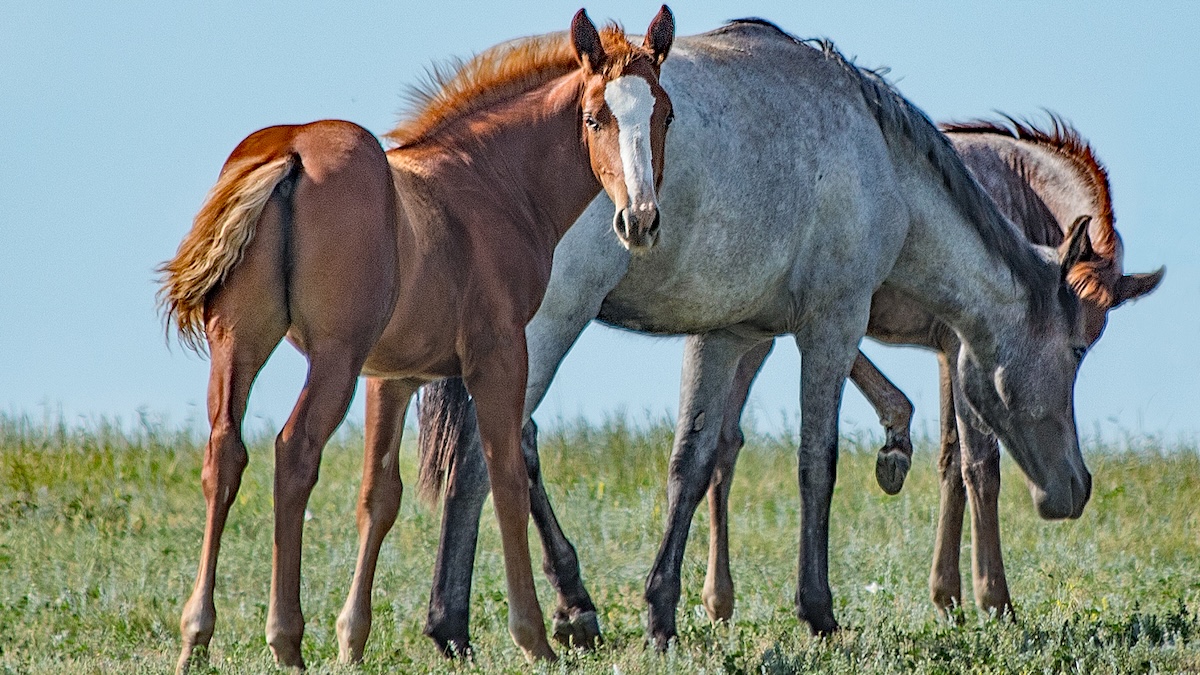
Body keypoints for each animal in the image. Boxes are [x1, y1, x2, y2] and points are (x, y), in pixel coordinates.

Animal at [157, 6, 676, 667]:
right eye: (594, 118)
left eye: (665, 115)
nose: (641, 220)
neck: (490, 184)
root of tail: (292, 151)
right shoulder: (499, 354)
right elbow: (503, 475)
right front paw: (534, 638)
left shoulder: (394, 375)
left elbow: (380, 495)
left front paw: (352, 641)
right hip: (334, 357)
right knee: (294, 453)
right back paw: (285, 640)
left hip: (238, 343)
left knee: (225, 454)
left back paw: (195, 638)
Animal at [408, 22, 1094, 653]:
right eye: (1075, 351)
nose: (1077, 487)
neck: (879, 158)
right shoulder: (833, 324)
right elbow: (817, 463)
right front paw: (818, 611)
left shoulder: (725, 335)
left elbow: (691, 463)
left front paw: (662, 616)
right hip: (549, 328)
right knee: (484, 455)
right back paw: (457, 626)